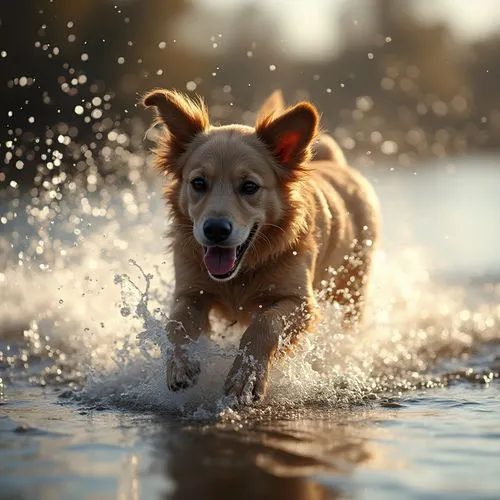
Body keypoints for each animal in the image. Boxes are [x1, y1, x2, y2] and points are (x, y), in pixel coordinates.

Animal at [141, 88, 378, 404]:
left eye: (250, 187)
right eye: (198, 183)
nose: (215, 230)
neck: (242, 272)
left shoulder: (300, 302)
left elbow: (264, 325)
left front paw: (246, 377)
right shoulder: (192, 292)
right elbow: (176, 324)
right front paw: (180, 364)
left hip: (352, 288)